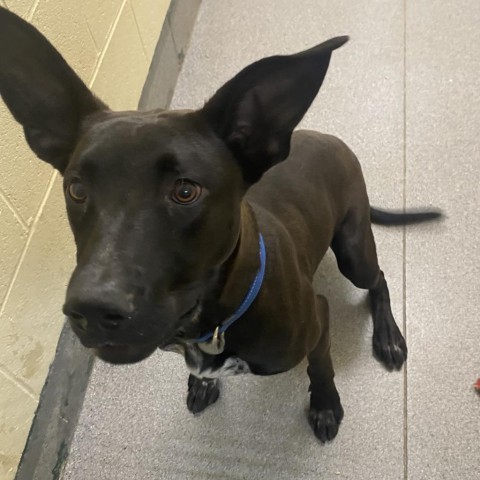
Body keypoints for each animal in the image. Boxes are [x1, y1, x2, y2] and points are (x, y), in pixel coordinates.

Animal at [0, 7, 438, 442]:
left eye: (185, 191)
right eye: (76, 189)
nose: (91, 310)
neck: (216, 315)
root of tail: (328, 138)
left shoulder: (318, 316)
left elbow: (321, 365)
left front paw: (326, 405)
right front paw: (203, 382)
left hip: (352, 250)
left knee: (378, 279)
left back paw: (388, 336)